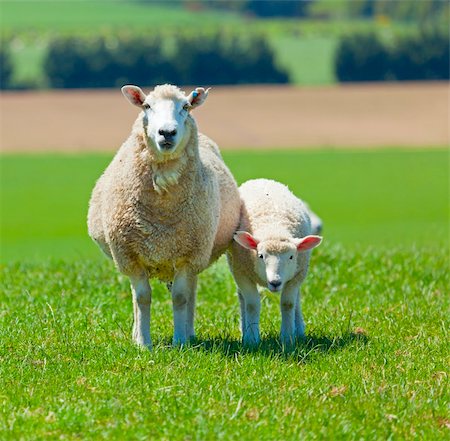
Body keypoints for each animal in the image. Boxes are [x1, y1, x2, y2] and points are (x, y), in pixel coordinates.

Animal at [89, 84, 243, 348]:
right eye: (147, 106)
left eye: (185, 107)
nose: (167, 132)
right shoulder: (130, 256)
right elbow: (142, 298)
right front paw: (143, 344)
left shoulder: (188, 255)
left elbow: (181, 297)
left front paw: (180, 341)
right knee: (136, 297)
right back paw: (137, 334)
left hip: (196, 255)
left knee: (190, 292)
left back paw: (189, 332)